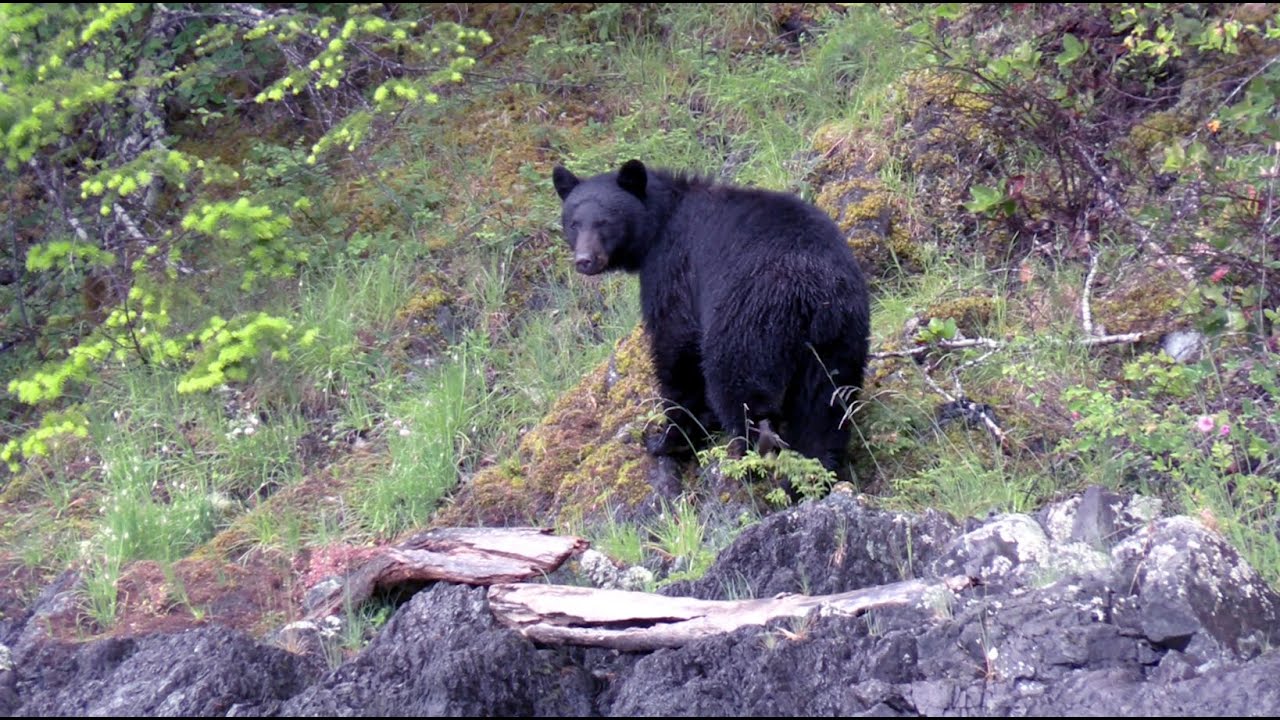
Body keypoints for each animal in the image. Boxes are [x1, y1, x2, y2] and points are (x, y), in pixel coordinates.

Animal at [552, 159, 870, 474]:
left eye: (605, 222)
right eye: (574, 223)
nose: (585, 260)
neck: (660, 224)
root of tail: (812, 294)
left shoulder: (673, 268)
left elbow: (676, 345)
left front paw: (667, 439)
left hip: (747, 324)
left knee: (735, 388)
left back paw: (752, 450)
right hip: (837, 342)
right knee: (823, 410)